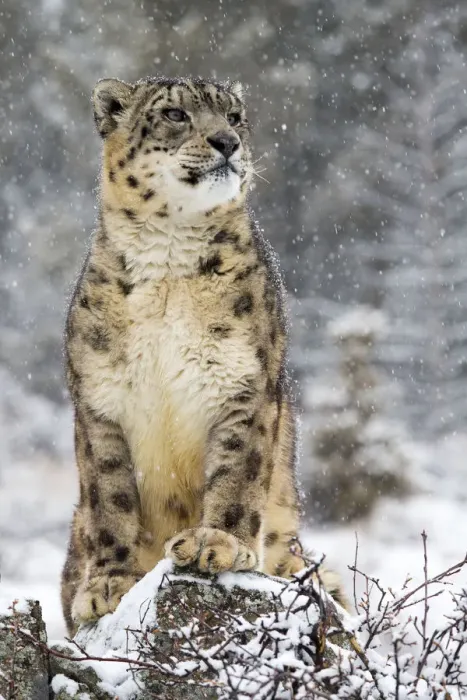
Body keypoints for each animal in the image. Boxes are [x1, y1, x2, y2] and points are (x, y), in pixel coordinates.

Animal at [61, 76, 344, 635]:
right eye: (175, 114)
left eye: (234, 117)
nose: (226, 143)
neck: (169, 257)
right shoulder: (98, 401)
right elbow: (110, 497)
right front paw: (108, 584)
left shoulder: (245, 387)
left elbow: (238, 474)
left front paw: (217, 543)